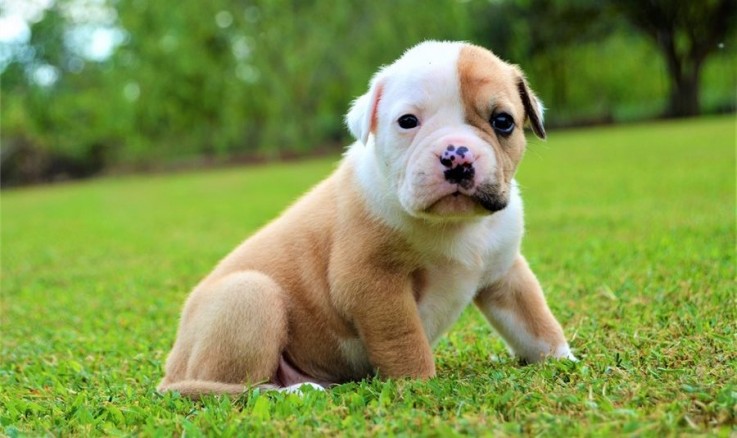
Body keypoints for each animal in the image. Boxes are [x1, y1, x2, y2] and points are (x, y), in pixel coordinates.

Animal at [158, 42, 576, 400]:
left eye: (503, 121)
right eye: (407, 122)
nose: (457, 155)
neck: (455, 225)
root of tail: (170, 372)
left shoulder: (505, 273)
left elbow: (535, 320)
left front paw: (565, 360)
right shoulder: (373, 284)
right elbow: (404, 339)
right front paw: (418, 386)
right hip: (250, 294)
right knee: (232, 387)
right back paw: (296, 390)